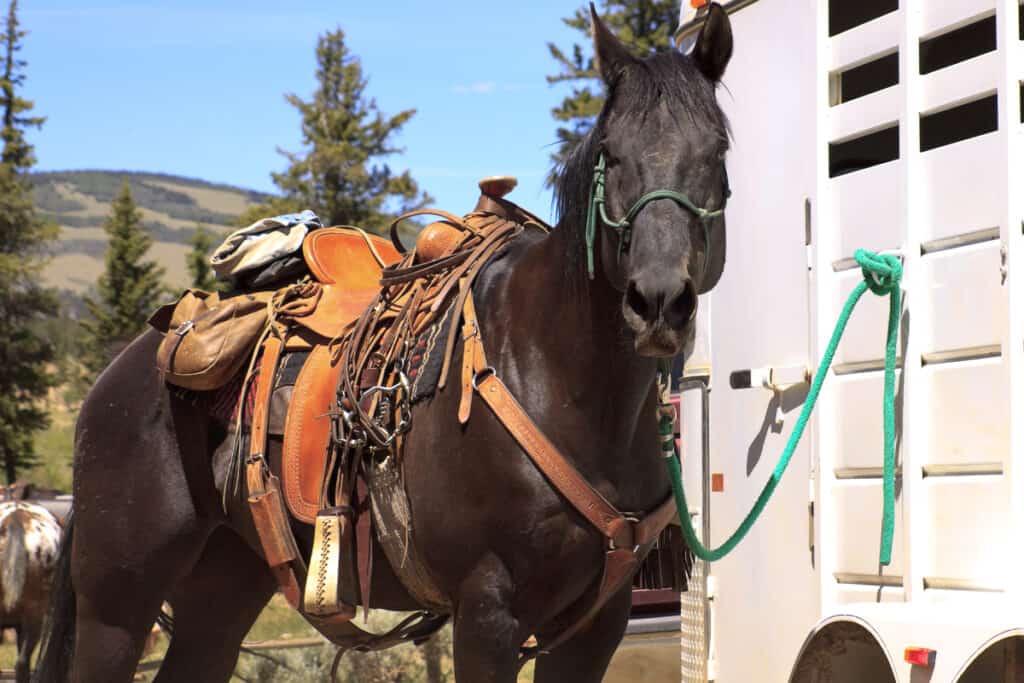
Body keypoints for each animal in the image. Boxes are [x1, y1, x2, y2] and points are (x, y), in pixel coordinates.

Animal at [34, 5, 734, 682]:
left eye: (719, 150)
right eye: (610, 153)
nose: (658, 301)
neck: (558, 380)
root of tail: (119, 372)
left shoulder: (597, 623)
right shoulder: (488, 613)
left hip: (222, 587)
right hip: (117, 603)